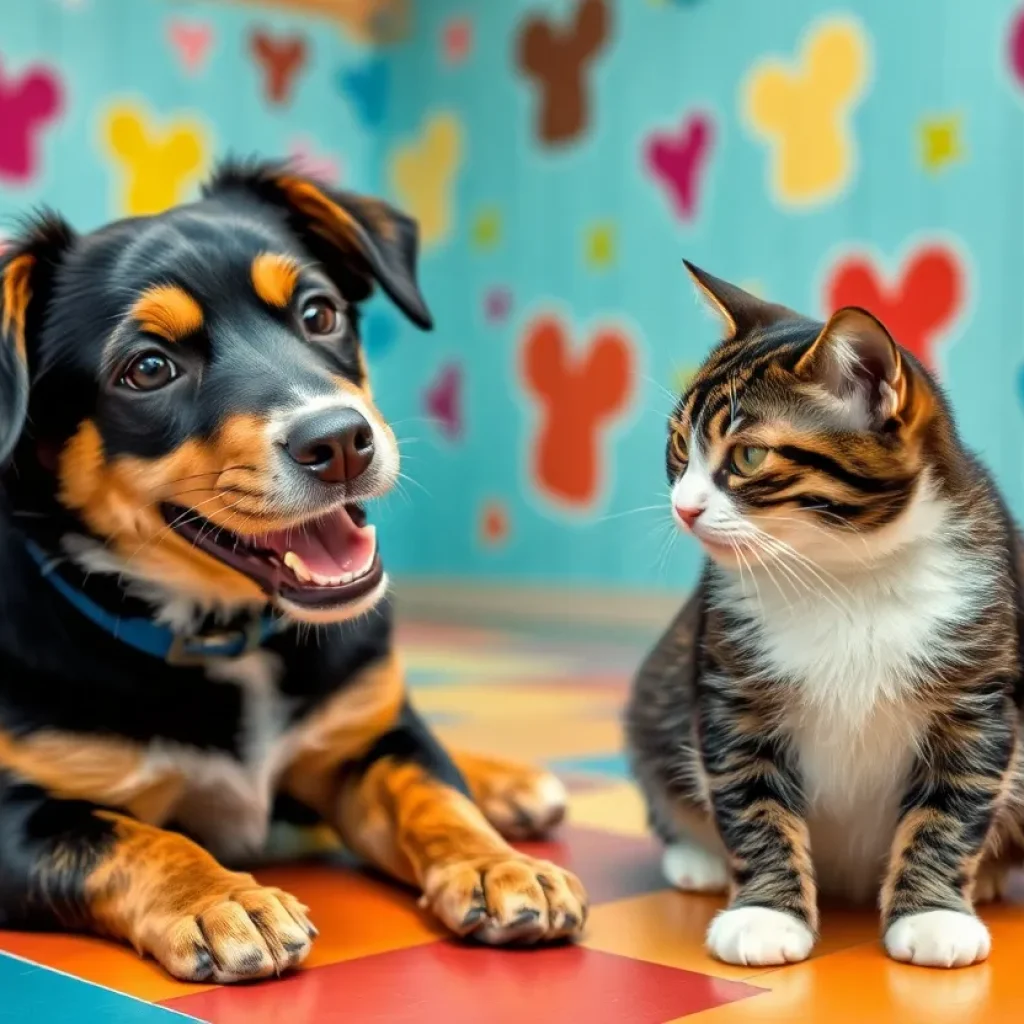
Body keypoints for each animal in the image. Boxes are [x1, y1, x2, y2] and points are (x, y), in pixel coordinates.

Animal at [0, 161, 589, 983]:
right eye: (148, 367)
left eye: (319, 313)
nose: (340, 440)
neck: (224, 638)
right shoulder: (16, 815)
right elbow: (125, 836)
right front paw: (220, 900)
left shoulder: (365, 743)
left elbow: (430, 789)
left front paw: (495, 864)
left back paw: (504, 784)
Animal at [622, 262, 1024, 966]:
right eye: (677, 445)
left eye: (748, 456)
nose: (683, 507)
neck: (841, 575)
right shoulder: (733, 684)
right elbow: (749, 794)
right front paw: (764, 913)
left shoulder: (977, 685)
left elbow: (955, 801)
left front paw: (934, 915)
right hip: (658, 693)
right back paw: (697, 856)